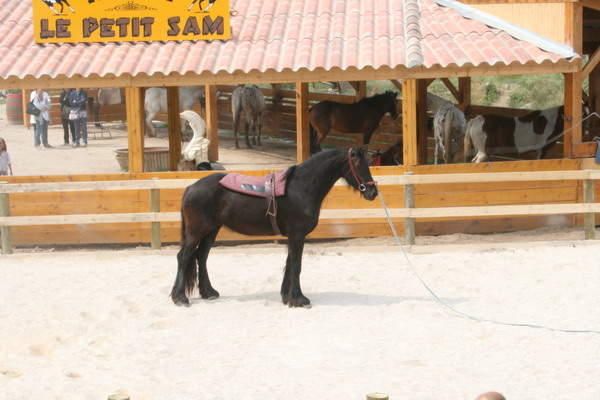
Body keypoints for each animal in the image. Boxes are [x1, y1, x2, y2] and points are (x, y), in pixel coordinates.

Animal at [171, 148, 378, 310]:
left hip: (211, 230)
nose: (373, 192)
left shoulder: (294, 236)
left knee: (201, 257)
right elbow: (296, 265)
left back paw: (208, 292)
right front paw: (299, 299)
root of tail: (191, 188)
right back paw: (180, 297)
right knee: (184, 257)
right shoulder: (297, 235)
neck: (301, 188)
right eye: (359, 165)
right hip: (197, 231)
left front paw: (287, 297)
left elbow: (289, 264)